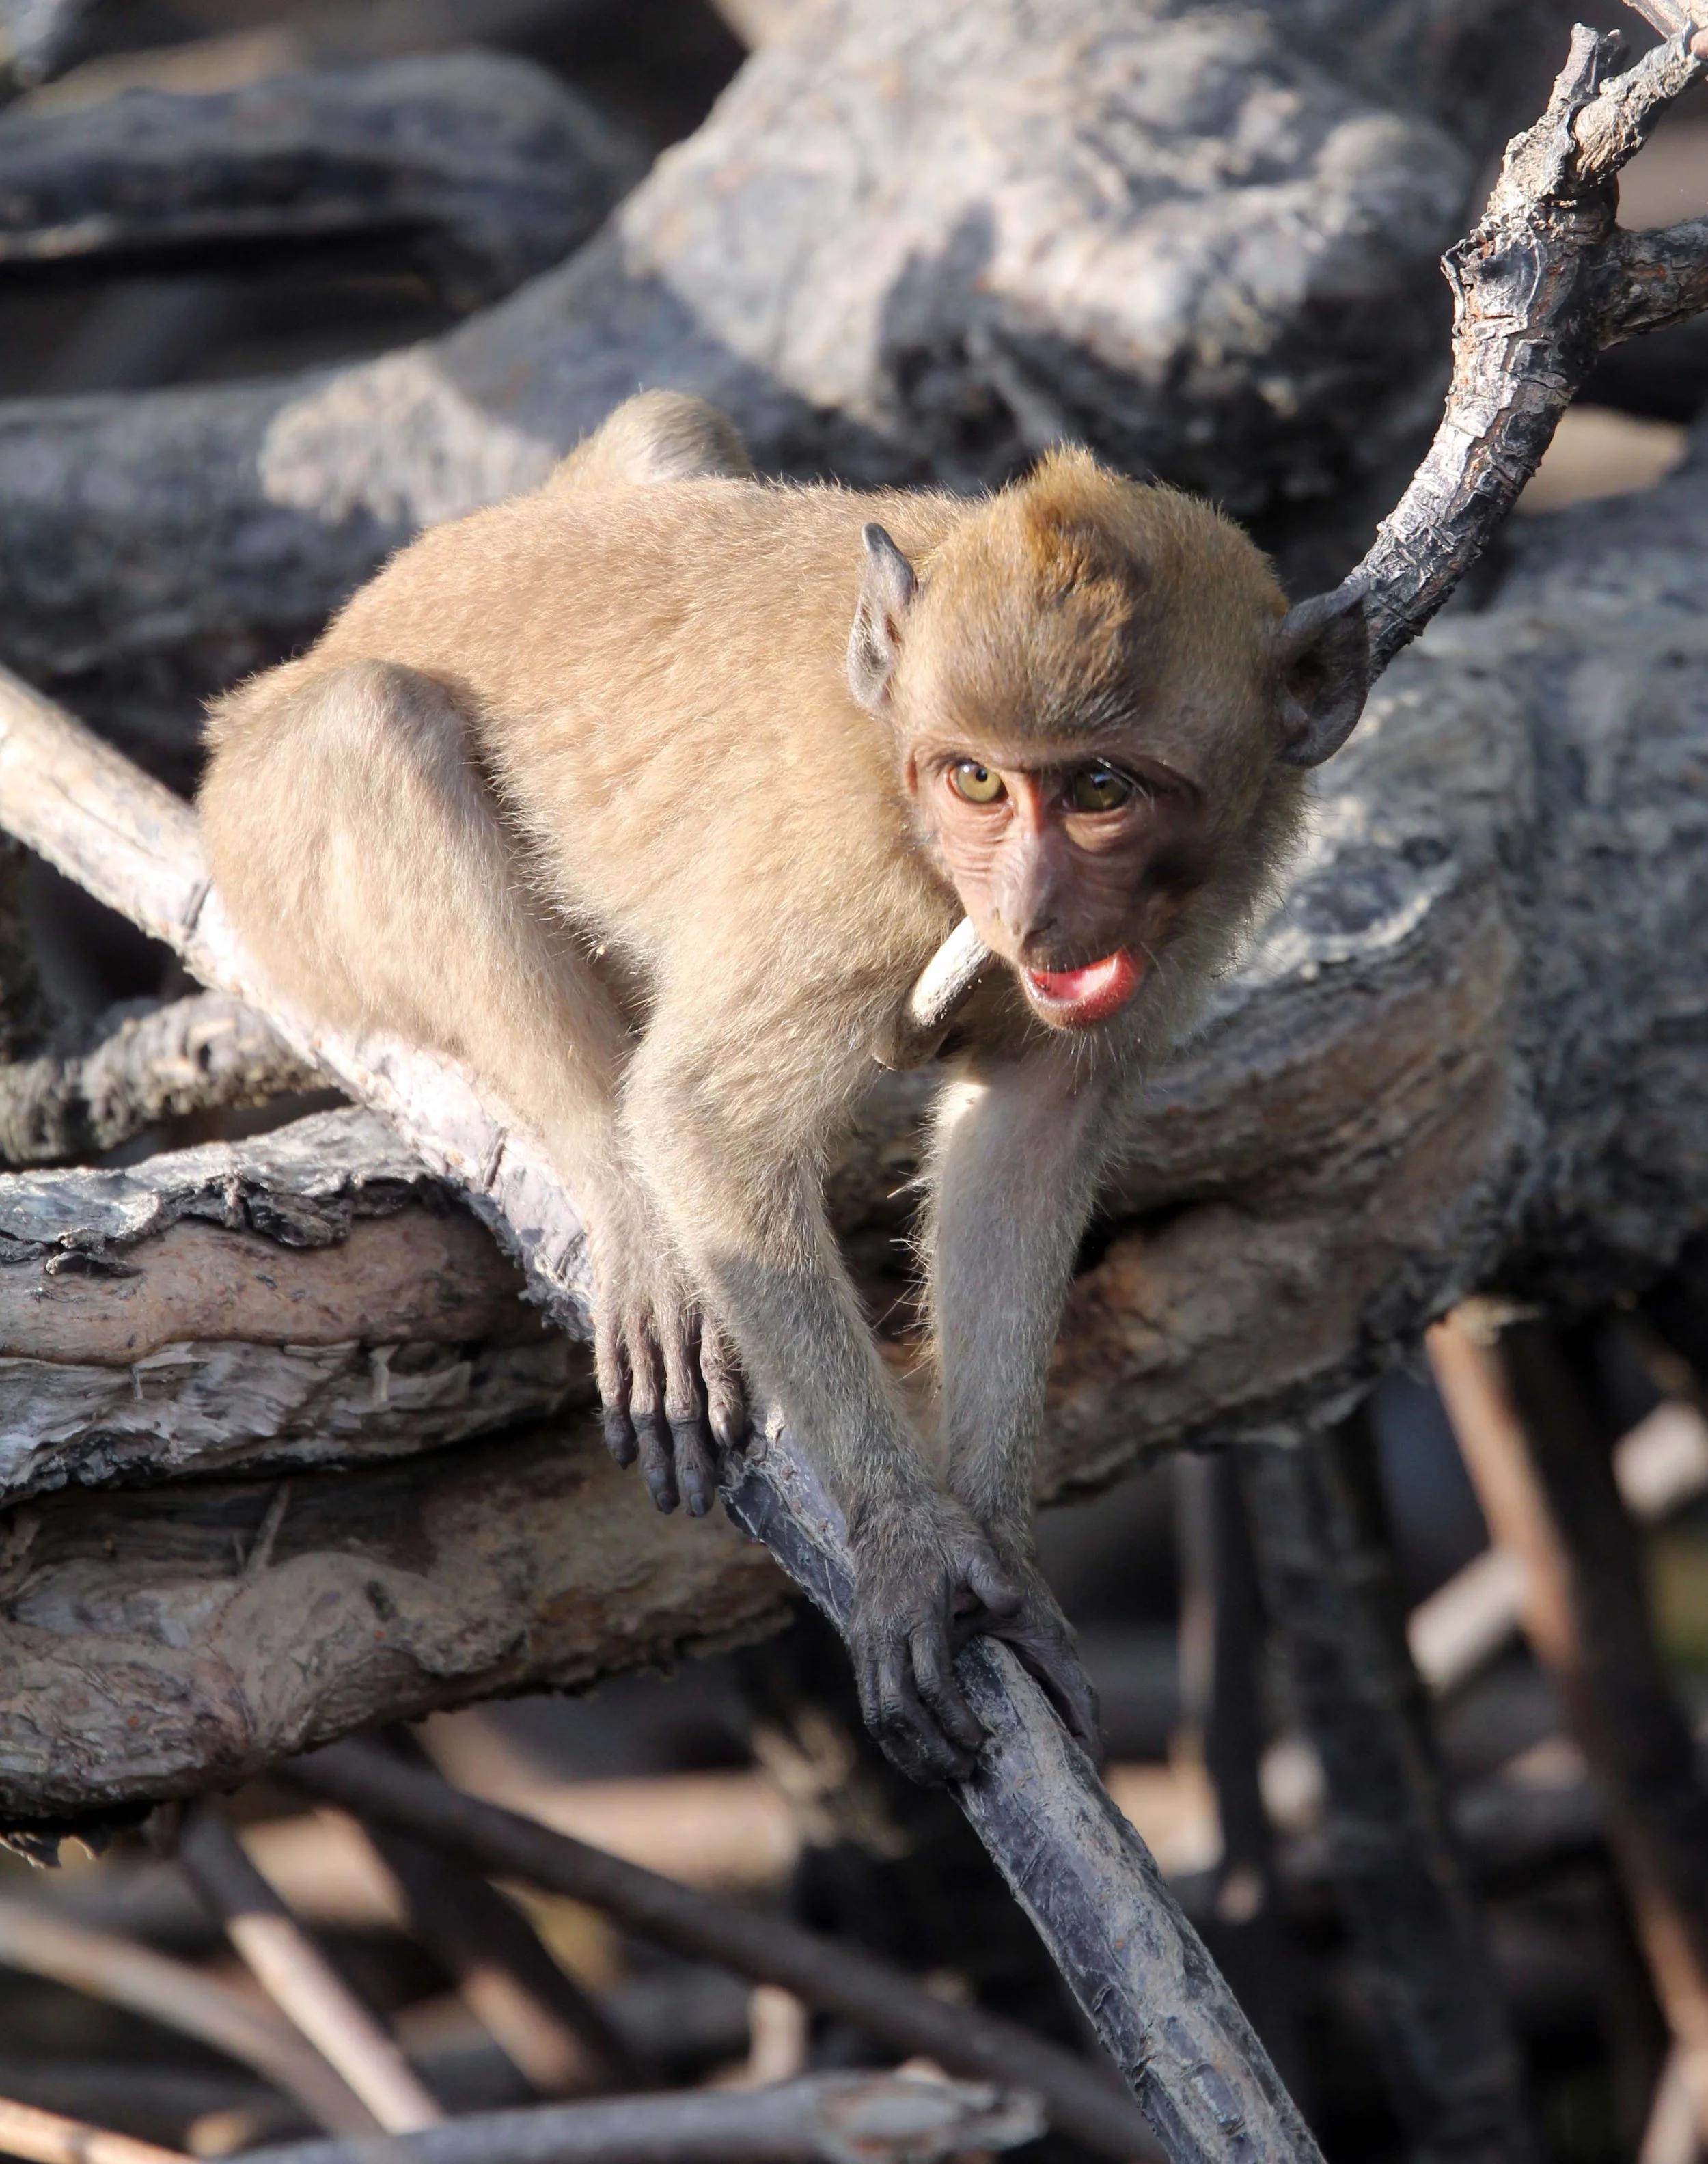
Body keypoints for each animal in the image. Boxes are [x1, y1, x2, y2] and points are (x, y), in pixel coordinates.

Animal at [198, 389, 1367, 1785]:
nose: (1032, 911)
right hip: (268, 852)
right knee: (376, 728)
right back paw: (635, 1221)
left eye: (1100, 788)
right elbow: (709, 1115)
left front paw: (999, 1546)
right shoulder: (848, 880)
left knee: (670, 421)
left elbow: (1028, 1137)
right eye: (978, 778)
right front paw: (906, 1539)